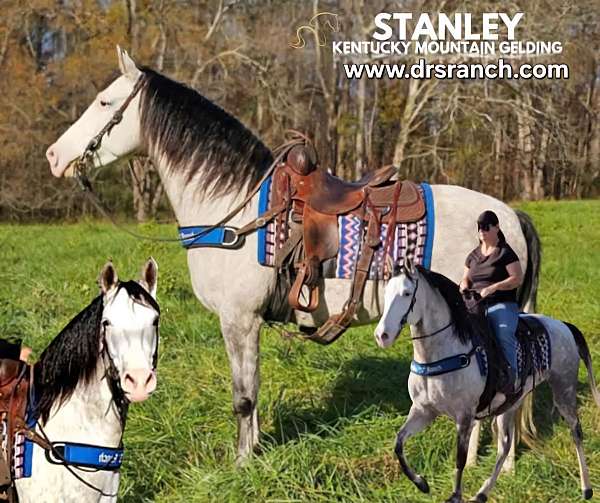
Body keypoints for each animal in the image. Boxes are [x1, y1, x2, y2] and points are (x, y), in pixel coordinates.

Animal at [45, 48, 540, 464]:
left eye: (105, 103)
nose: (54, 156)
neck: (235, 207)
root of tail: (510, 216)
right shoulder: (247, 323)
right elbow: (253, 391)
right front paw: (254, 450)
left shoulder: (238, 320)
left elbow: (243, 396)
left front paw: (242, 464)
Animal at [372, 262, 596, 502]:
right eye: (386, 292)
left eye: (406, 293)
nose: (382, 335)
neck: (444, 351)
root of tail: (564, 326)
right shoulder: (424, 411)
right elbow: (399, 443)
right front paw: (422, 484)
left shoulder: (464, 417)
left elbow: (460, 459)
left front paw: (455, 496)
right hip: (510, 404)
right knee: (505, 444)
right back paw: (482, 492)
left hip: (564, 388)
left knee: (576, 432)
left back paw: (586, 488)